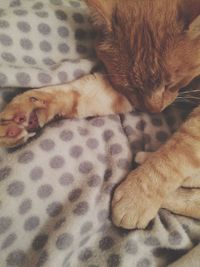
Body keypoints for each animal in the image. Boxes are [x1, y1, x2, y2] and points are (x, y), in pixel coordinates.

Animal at [0, 0, 199, 230]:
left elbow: (178, 150)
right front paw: (26, 112)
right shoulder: (122, 94)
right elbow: (80, 92)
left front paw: (137, 196)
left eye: (170, 84)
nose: (153, 110)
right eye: (132, 88)